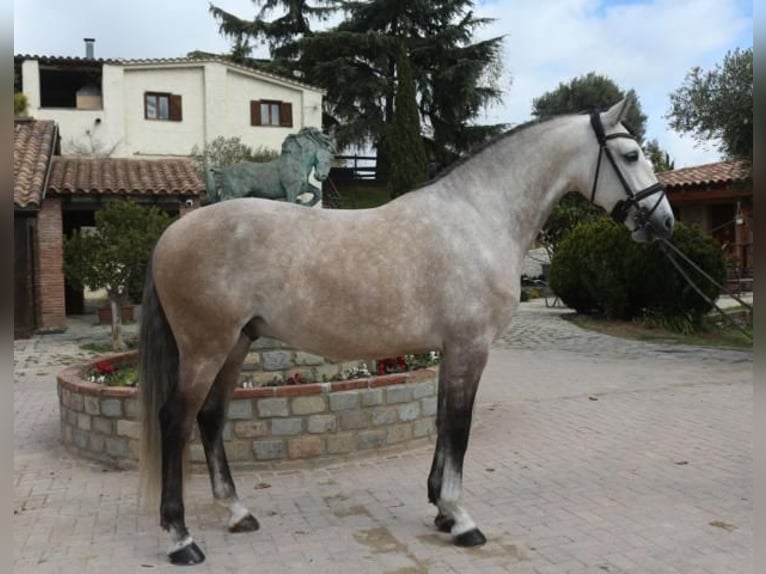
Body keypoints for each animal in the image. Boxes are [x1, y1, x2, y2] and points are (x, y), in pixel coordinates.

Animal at [207, 127, 336, 207]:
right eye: (329, 158)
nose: (322, 176)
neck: (297, 162)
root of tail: (224, 170)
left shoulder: (303, 188)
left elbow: (318, 193)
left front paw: (305, 204)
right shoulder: (292, 188)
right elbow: (292, 202)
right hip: (232, 195)